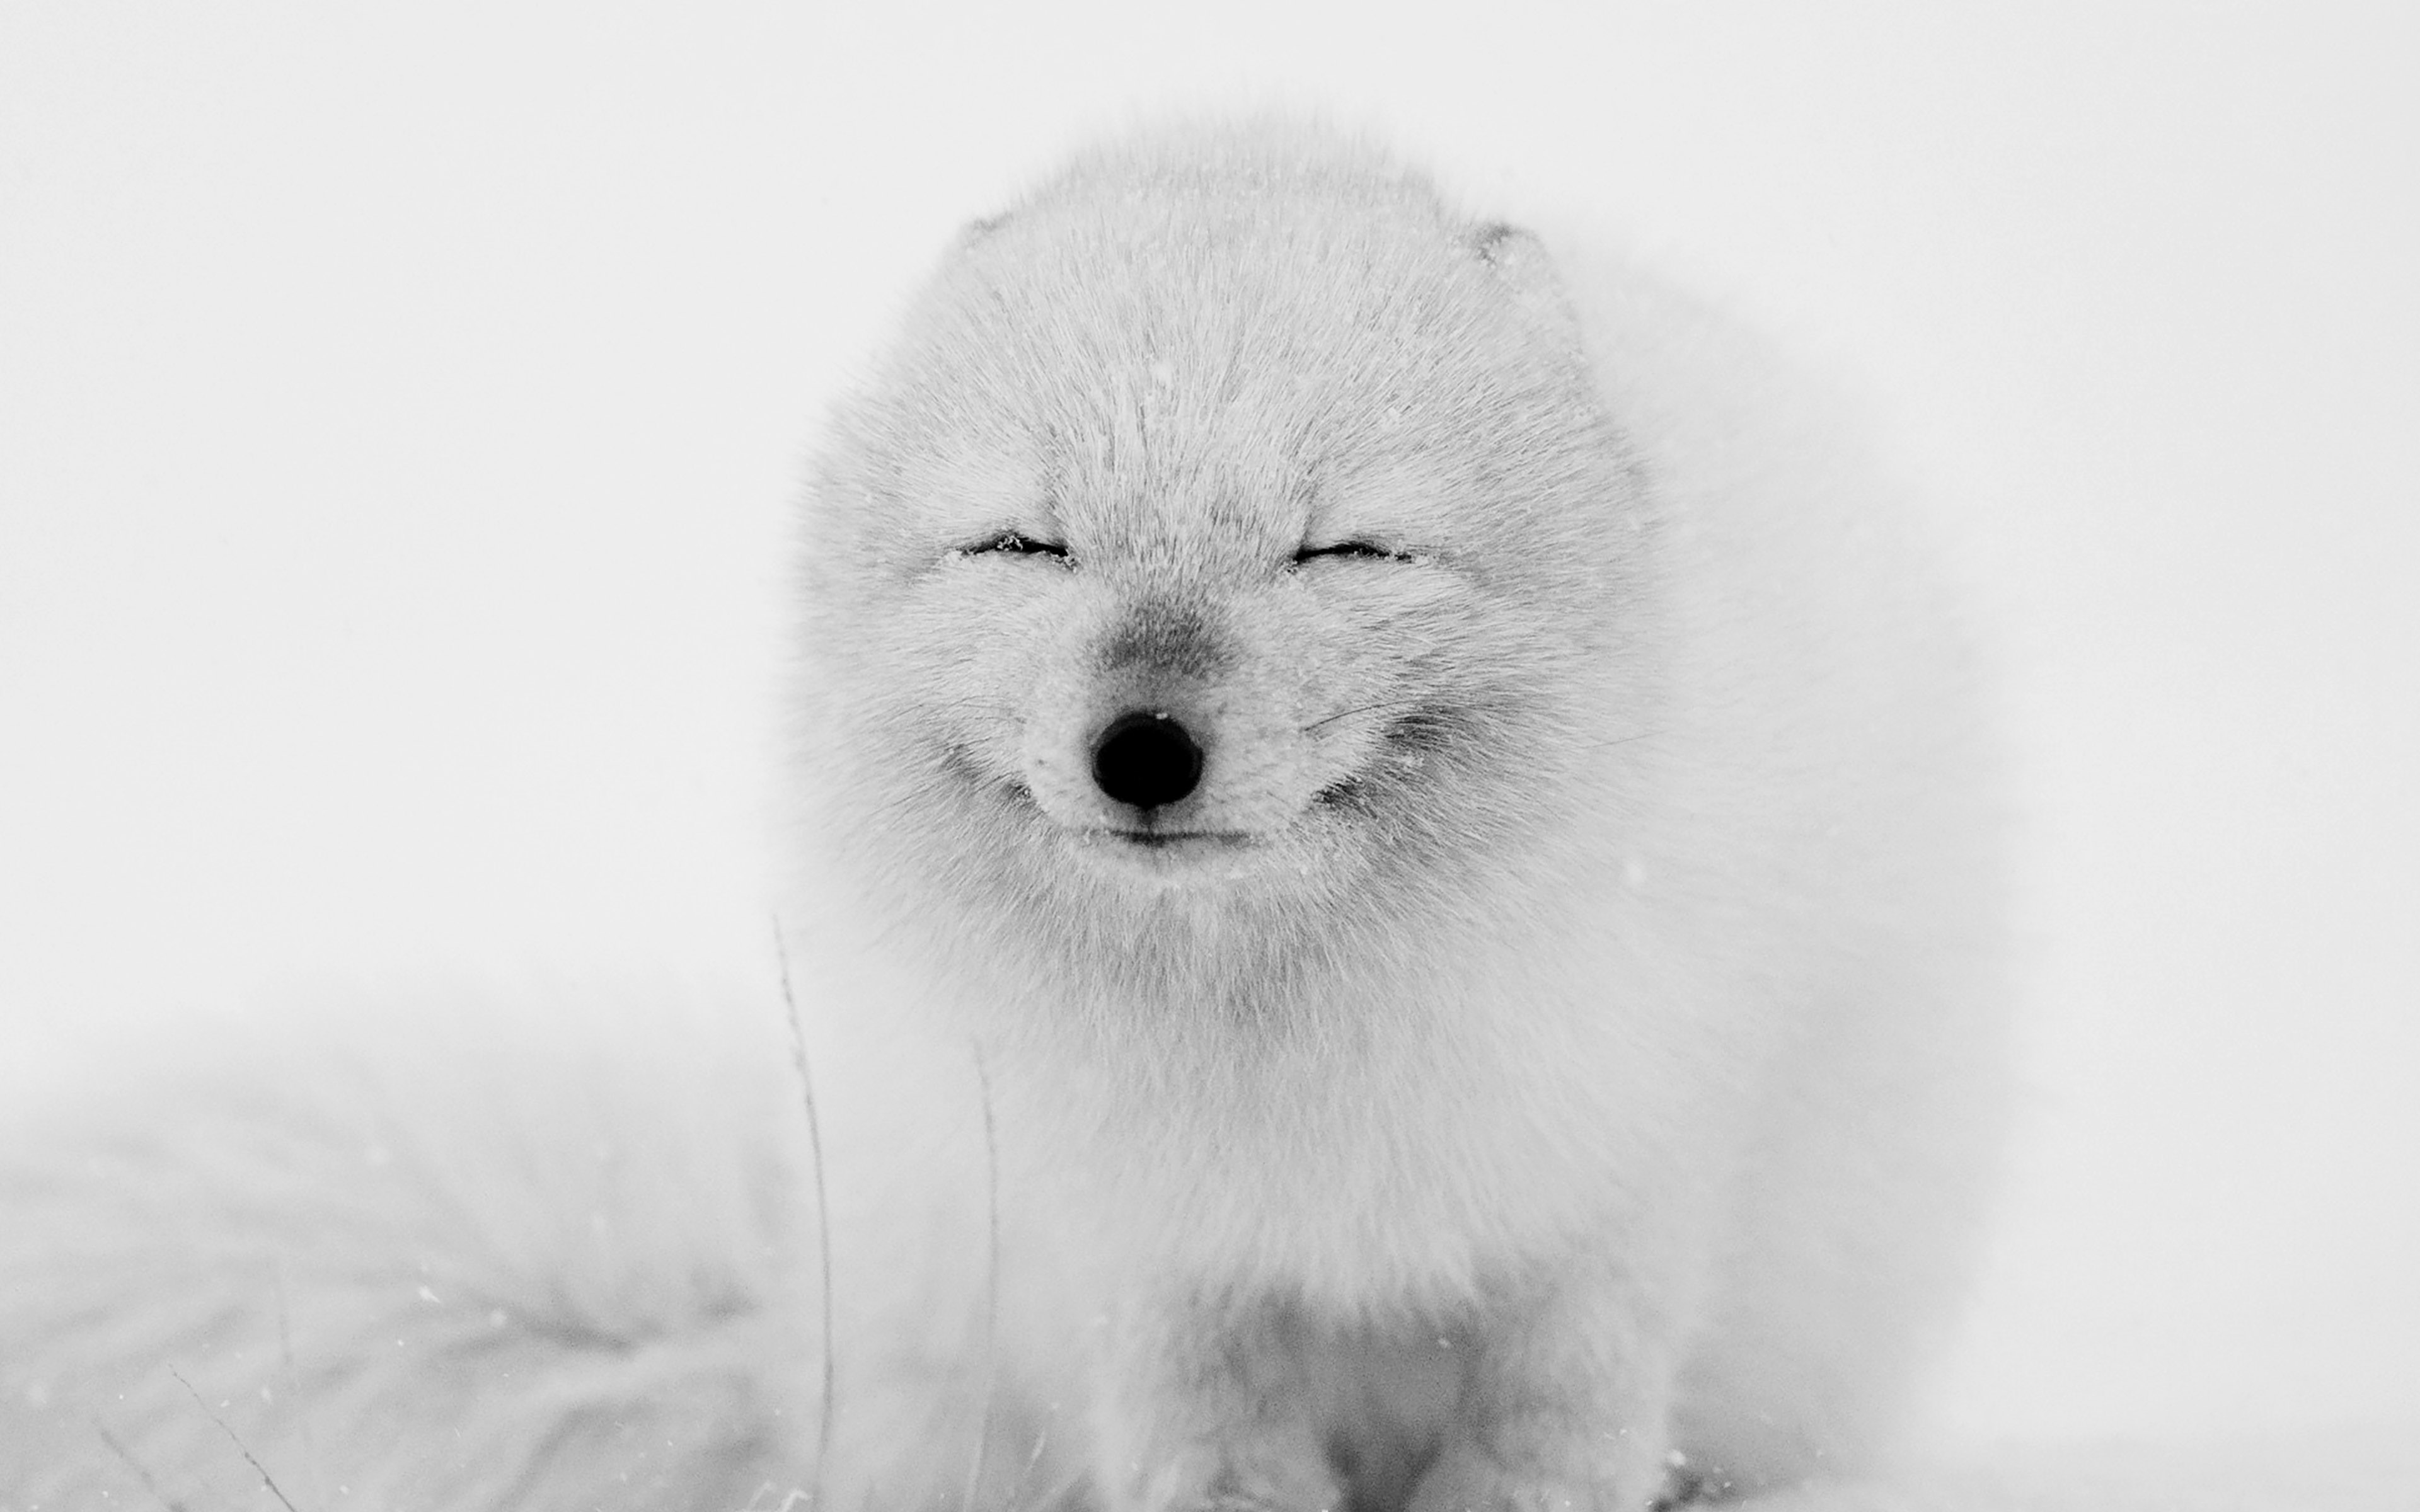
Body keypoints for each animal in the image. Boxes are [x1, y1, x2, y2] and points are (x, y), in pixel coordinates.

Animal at [0, 123, 2004, 1512]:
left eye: (1345, 549)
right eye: (1025, 543)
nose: (1144, 747)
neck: (1282, 1060)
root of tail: (794, 1327)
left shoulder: (1617, 1200)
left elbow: (1551, 1446)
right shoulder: (1138, 1261)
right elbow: (1208, 1463)